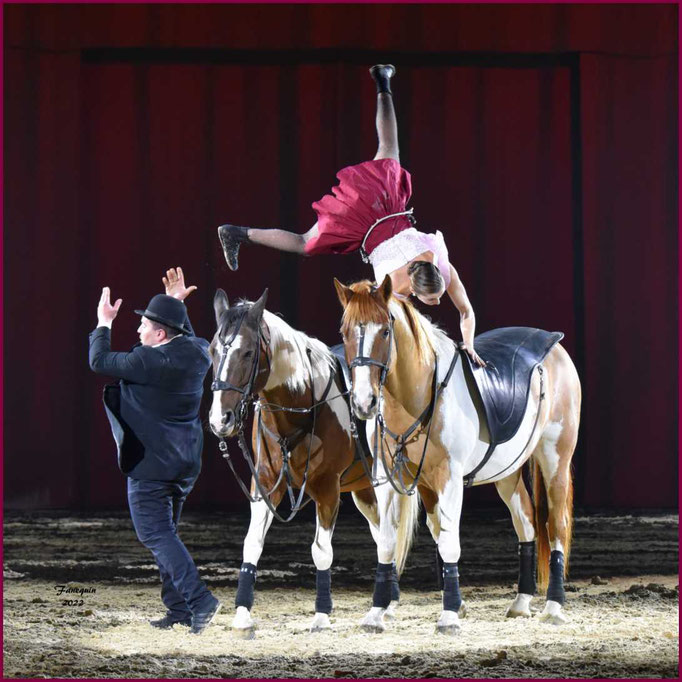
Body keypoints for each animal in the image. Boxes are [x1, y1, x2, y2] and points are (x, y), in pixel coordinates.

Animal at [207, 288, 418, 632]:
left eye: (248, 353)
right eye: (213, 350)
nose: (219, 419)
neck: (300, 408)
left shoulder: (327, 490)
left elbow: (321, 551)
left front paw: (321, 615)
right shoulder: (265, 484)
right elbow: (252, 543)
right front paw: (242, 613)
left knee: (389, 534)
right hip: (364, 491)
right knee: (381, 535)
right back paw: (388, 602)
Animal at [334, 278, 580, 632]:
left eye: (385, 331)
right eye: (344, 332)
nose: (364, 402)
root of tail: (554, 344)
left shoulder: (448, 477)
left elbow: (449, 541)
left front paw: (449, 614)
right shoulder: (388, 479)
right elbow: (387, 542)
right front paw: (376, 611)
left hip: (555, 457)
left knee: (556, 524)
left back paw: (554, 606)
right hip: (507, 472)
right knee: (527, 523)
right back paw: (521, 601)